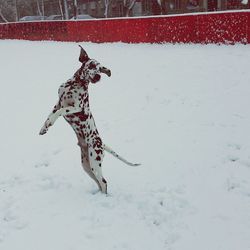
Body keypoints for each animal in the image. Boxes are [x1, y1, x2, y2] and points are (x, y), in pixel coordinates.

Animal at [40, 46, 140, 193]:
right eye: (92, 65)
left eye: (100, 69)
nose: (98, 76)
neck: (74, 84)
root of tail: (102, 143)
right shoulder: (58, 102)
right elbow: (51, 115)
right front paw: (44, 127)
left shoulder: (77, 107)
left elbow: (60, 112)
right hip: (87, 166)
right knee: (99, 182)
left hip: (95, 162)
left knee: (104, 182)